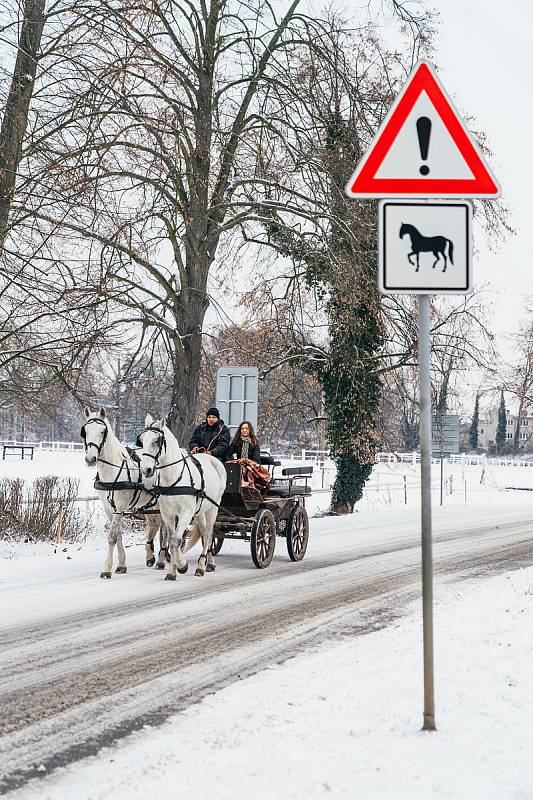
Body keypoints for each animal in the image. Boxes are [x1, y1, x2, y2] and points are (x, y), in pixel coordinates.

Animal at [81, 410, 167, 580]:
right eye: (85, 431)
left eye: (102, 431)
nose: (91, 459)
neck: (113, 470)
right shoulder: (109, 508)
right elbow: (118, 535)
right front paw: (121, 565)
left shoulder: (120, 506)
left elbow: (112, 536)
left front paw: (107, 569)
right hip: (150, 504)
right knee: (154, 525)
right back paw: (150, 556)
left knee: (166, 529)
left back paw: (161, 560)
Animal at [136, 416, 225, 580]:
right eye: (142, 440)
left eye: (157, 440)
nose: (146, 470)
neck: (172, 476)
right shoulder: (168, 514)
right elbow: (171, 541)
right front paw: (172, 571)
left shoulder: (186, 513)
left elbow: (177, 540)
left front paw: (182, 566)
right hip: (200, 511)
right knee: (204, 532)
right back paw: (208, 562)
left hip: (213, 508)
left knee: (209, 534)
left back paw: (202, 565)